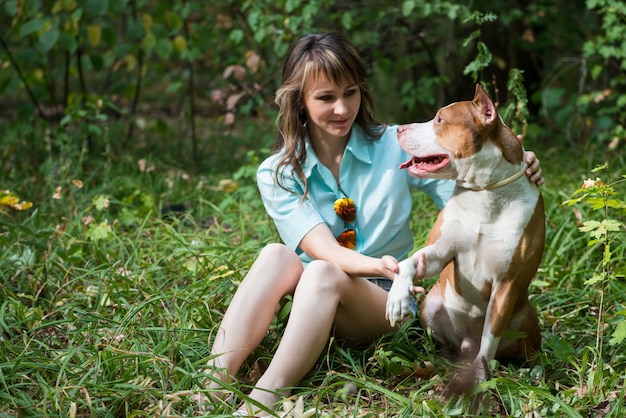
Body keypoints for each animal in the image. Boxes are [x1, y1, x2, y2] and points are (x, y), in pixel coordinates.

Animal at [382, 83, 544, 390]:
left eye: (440, 120)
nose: (398, 129)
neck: (484, 192)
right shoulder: (438, 254)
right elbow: (409, 263)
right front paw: (397, 297)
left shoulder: (506, 284)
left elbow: (489, 341)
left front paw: (480, 379)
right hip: (431, 306)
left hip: (527, 315)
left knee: (529, 349)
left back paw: (535, 372)